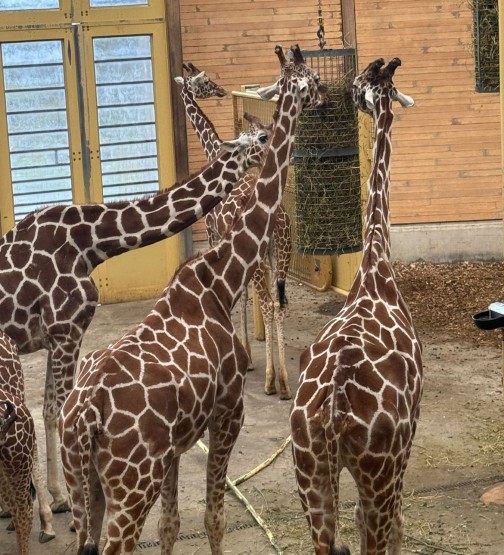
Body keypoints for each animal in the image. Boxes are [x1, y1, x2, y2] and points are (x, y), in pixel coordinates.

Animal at [0, 126, 270, 513]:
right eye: (260, 139)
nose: (273, 141)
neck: (91, 242)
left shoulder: (55, 336)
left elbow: (50, 410)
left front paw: (57, 496)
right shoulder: (67, 329)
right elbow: (58, 409)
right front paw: (67, 501)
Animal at [175, 62, 294, 399]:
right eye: (204, 80)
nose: (219, 90)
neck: (213, 150)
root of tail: (279, 220)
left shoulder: (214, 234)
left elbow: (236, 298)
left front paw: (246, 357)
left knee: (267, 303)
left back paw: (271, 381)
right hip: (282, 255)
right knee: (278, 303)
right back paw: (284, 381)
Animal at [289, 57, 422, 555]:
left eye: (365, 80)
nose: (347, 91)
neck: (375, 265)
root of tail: (333, 410)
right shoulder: (406, 445)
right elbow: (398, 527)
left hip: (310, 471)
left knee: (327, 543)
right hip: (377, 469)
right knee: (378, 530)